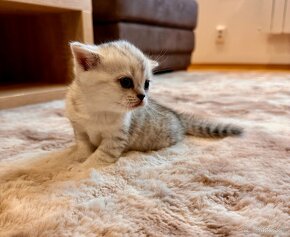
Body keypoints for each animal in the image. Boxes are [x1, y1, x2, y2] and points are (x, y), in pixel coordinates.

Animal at [65, 40, 242, 167]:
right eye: (126, 82)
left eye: (147, 84)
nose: (143, 96)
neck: (97, 108)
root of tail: (178, 116)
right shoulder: (79, 129)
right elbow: (83, 147)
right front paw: (77, 159)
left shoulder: (114, 140)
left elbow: (96, 158)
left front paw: (78, 169)